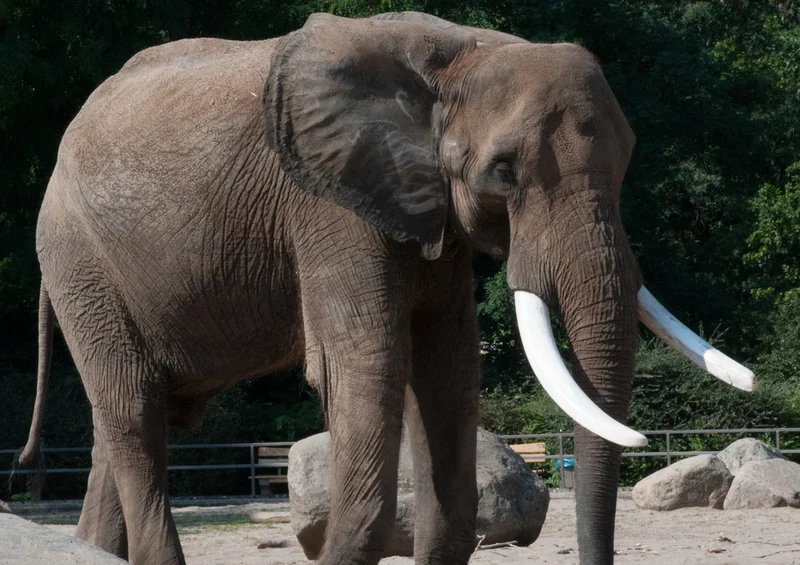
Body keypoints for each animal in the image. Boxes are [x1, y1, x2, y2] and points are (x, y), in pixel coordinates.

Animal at [19, 11, 755, 565]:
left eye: (628, 160)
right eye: (504, 170)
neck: (460, 51)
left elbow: (447, 369)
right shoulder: (329, 202)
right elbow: (367, 363)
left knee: (122, 422)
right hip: (78, 258)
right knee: (135, 412)